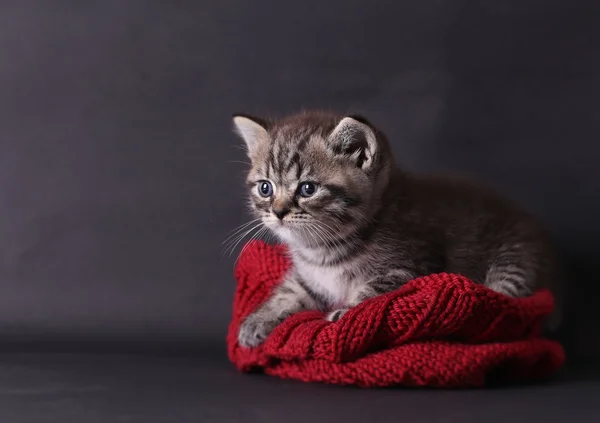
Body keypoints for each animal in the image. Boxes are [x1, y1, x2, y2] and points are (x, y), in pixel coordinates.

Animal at [231, 109, 564, 348]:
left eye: (307, 189)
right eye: (265, 188)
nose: (278, 212)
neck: (325, 249)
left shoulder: (413, 266)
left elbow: (373, 291)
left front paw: (347, 313)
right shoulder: (310, 278)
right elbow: (290, 291)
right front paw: (258, 320)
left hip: (515, 262)